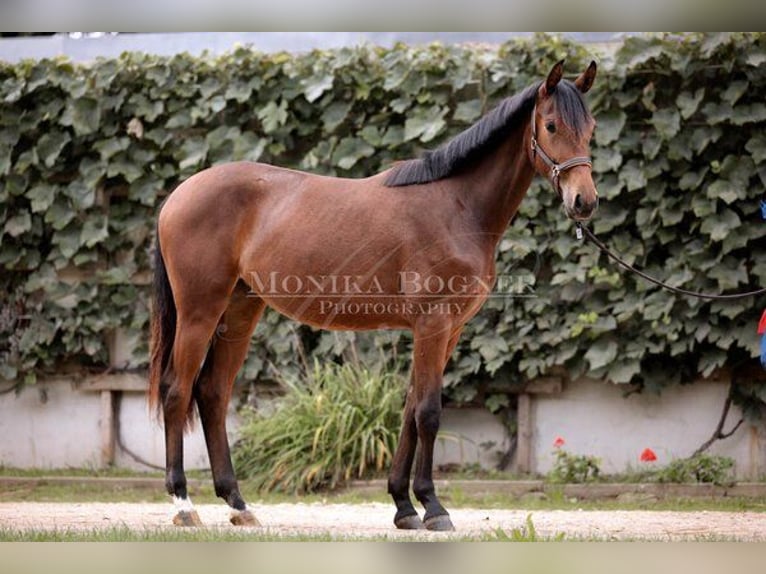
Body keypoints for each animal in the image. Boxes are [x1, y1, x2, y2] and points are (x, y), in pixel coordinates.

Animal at [148, 58, 600, 532]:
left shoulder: (448, 331)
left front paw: (404, 507)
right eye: (551, 125)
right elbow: (428, 412)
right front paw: (433, 507)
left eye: (590, 127)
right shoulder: (432, 324)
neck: (456, 205)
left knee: (213, 392)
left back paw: (237, 503)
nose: (584, 201)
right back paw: (184, 503)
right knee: (177, 391)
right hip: (199, 312)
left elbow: (410, 410)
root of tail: (178, 195)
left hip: (240, 311)